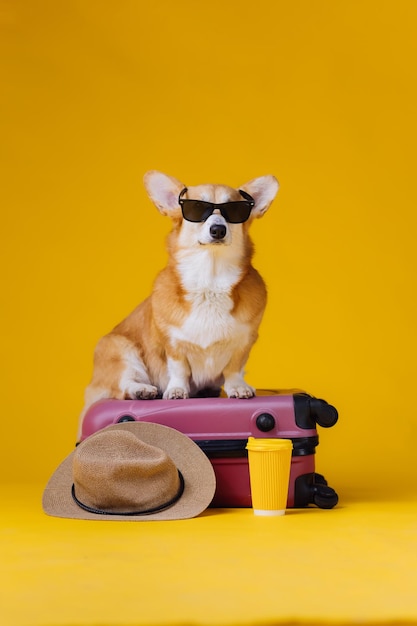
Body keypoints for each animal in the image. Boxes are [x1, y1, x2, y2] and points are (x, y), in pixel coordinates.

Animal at [79, 169, 278, 434]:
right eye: (197, 209)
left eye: (233, 211)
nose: (218, 229)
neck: (209, 281)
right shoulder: (172, 343)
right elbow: (179, 368)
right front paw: (176, 390)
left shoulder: (244, 341)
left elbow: (234, 368)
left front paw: (237, 387)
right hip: (118, 348)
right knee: (122, 385)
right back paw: (142, 390)